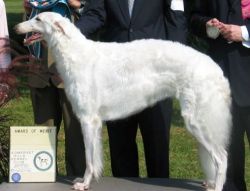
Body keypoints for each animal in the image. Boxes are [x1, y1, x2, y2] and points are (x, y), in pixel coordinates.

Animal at [15, 12, 230, 191]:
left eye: (38, 19)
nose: (16, 28)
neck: (75, 53)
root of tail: (216, 69)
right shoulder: (94, 123)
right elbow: (95, 158)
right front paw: (87, 180)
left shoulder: (88, 119)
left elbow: (89, 159)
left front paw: (84, 183)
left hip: (197, 121)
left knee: (222, 158)